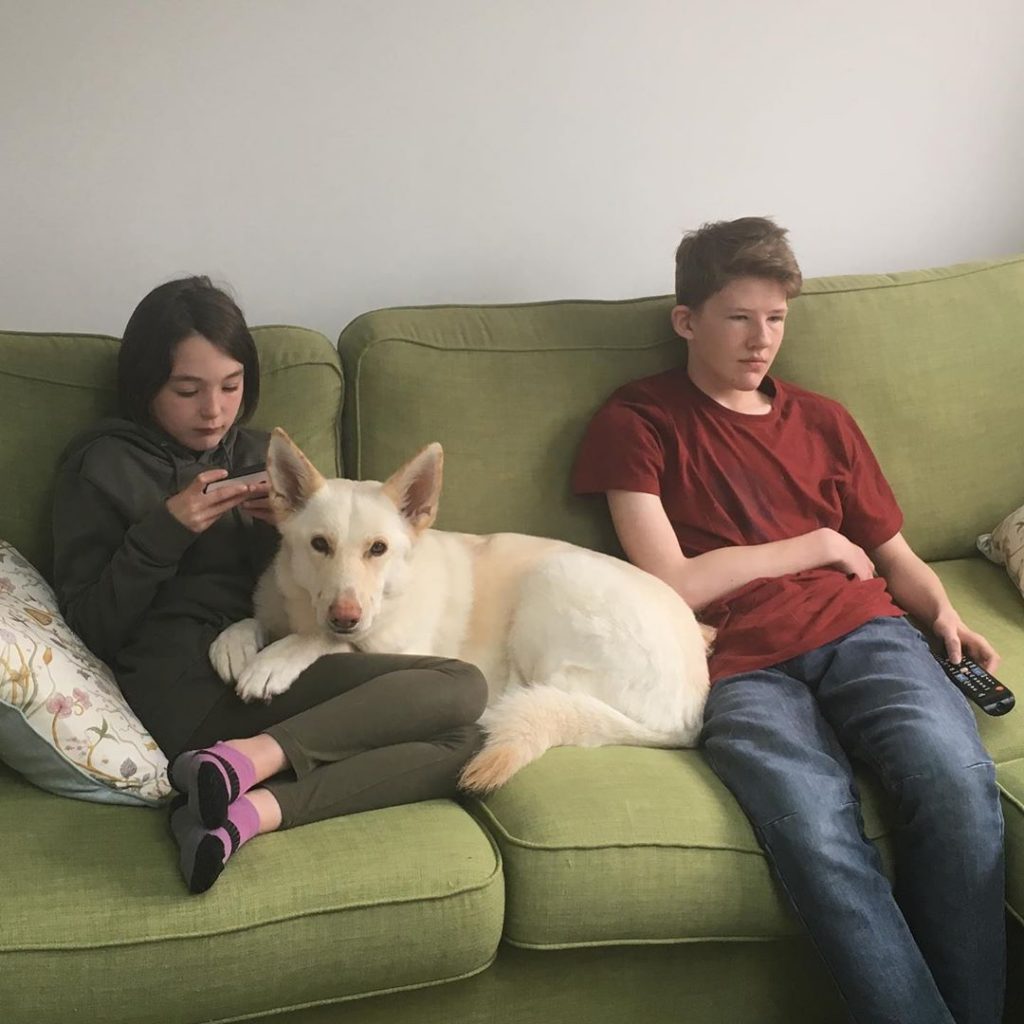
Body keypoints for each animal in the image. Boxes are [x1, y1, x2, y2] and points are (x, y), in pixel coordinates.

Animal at [209, 425, 712, 790]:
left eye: (378, 549)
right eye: (319, 545)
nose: (345, 617)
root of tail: (689, 721)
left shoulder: (387, 645)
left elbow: (325, 641)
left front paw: (276, 660)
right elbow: (253, 621)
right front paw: (236, 643)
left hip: (551, 584)